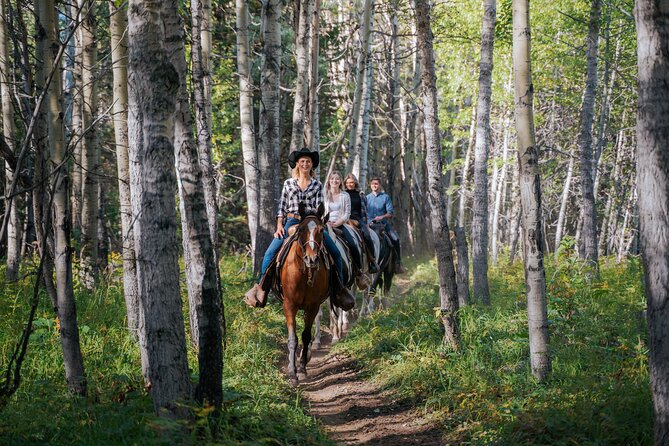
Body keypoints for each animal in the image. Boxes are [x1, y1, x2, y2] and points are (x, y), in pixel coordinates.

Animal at [274, 204, 332, 386]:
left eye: (321, 230)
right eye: (301, 230)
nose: (311, 259)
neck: (304, 272)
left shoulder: (312, 306)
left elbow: (306, 336)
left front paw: (302, 369)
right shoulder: (289, 305)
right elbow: (293, 338)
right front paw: (292, 373)